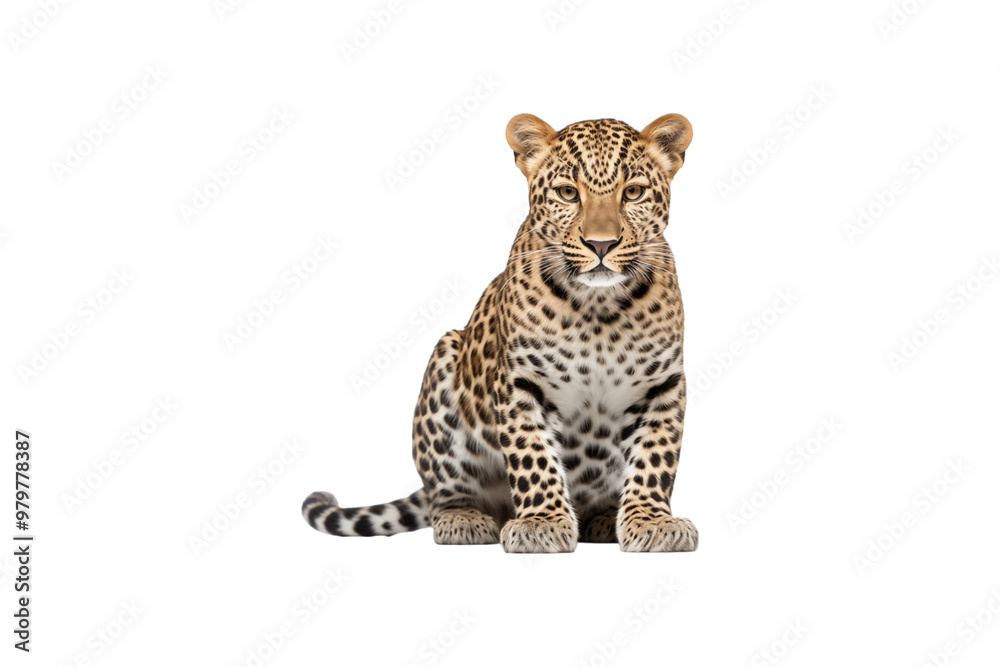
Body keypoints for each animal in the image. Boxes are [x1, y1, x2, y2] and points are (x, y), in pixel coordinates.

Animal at [302, 113, 698, 553]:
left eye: (633, 192)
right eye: (567, 193)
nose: (601, 244)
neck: (598, 307)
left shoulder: (663, 384)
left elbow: (654, 458)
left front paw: (652, 521)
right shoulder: (521, 381)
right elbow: (533, 456)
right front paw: (541, 523)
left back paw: (602, 519)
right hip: (444, 360)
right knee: (447, 492)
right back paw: (464, 519)